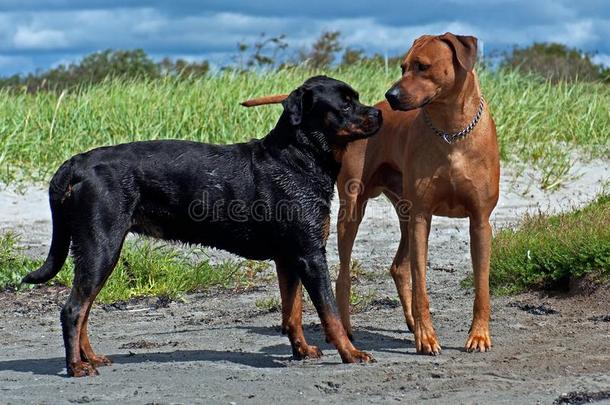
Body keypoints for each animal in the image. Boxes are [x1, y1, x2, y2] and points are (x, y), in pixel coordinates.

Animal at [22, 75, 380, 376]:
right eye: (345, 104)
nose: (378, 113)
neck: (299, 157)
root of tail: (76, 164)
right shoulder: (310, 255)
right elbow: (330, 313)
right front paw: (351, 353)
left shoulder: (289, 258)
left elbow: (292, 313)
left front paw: (302, 350)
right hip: (101, 247)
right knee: (73, 310)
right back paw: (76, 367)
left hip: (99, 252)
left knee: (83, 310)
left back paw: (91, 358)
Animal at [240, 31, 496, 354]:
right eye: (403, 67)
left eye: (423, 66)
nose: (391, 96)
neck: (451, 131)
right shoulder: (422, 218)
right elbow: (421, 285)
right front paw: (426, 337)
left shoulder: (480, 221)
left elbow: (482, 286)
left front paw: (478, 335)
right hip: (353, 210)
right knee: (343, 276)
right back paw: (347, 331)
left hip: (406, 213)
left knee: (399, 267)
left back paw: (410, 322)